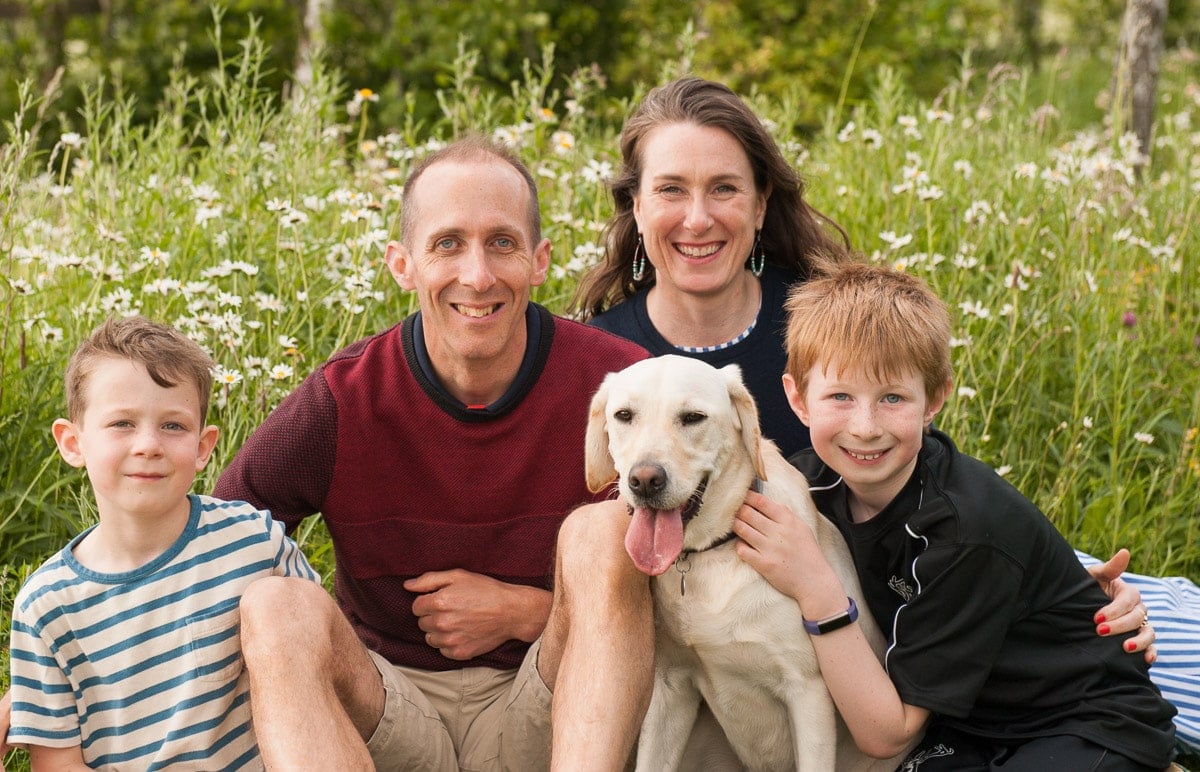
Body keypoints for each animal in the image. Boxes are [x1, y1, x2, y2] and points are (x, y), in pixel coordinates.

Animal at [585, 355, 902, 772]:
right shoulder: (669, 686)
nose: (645, 480)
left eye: (693, 417)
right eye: (624, 415)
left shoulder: (808, 691)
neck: (708, 555)